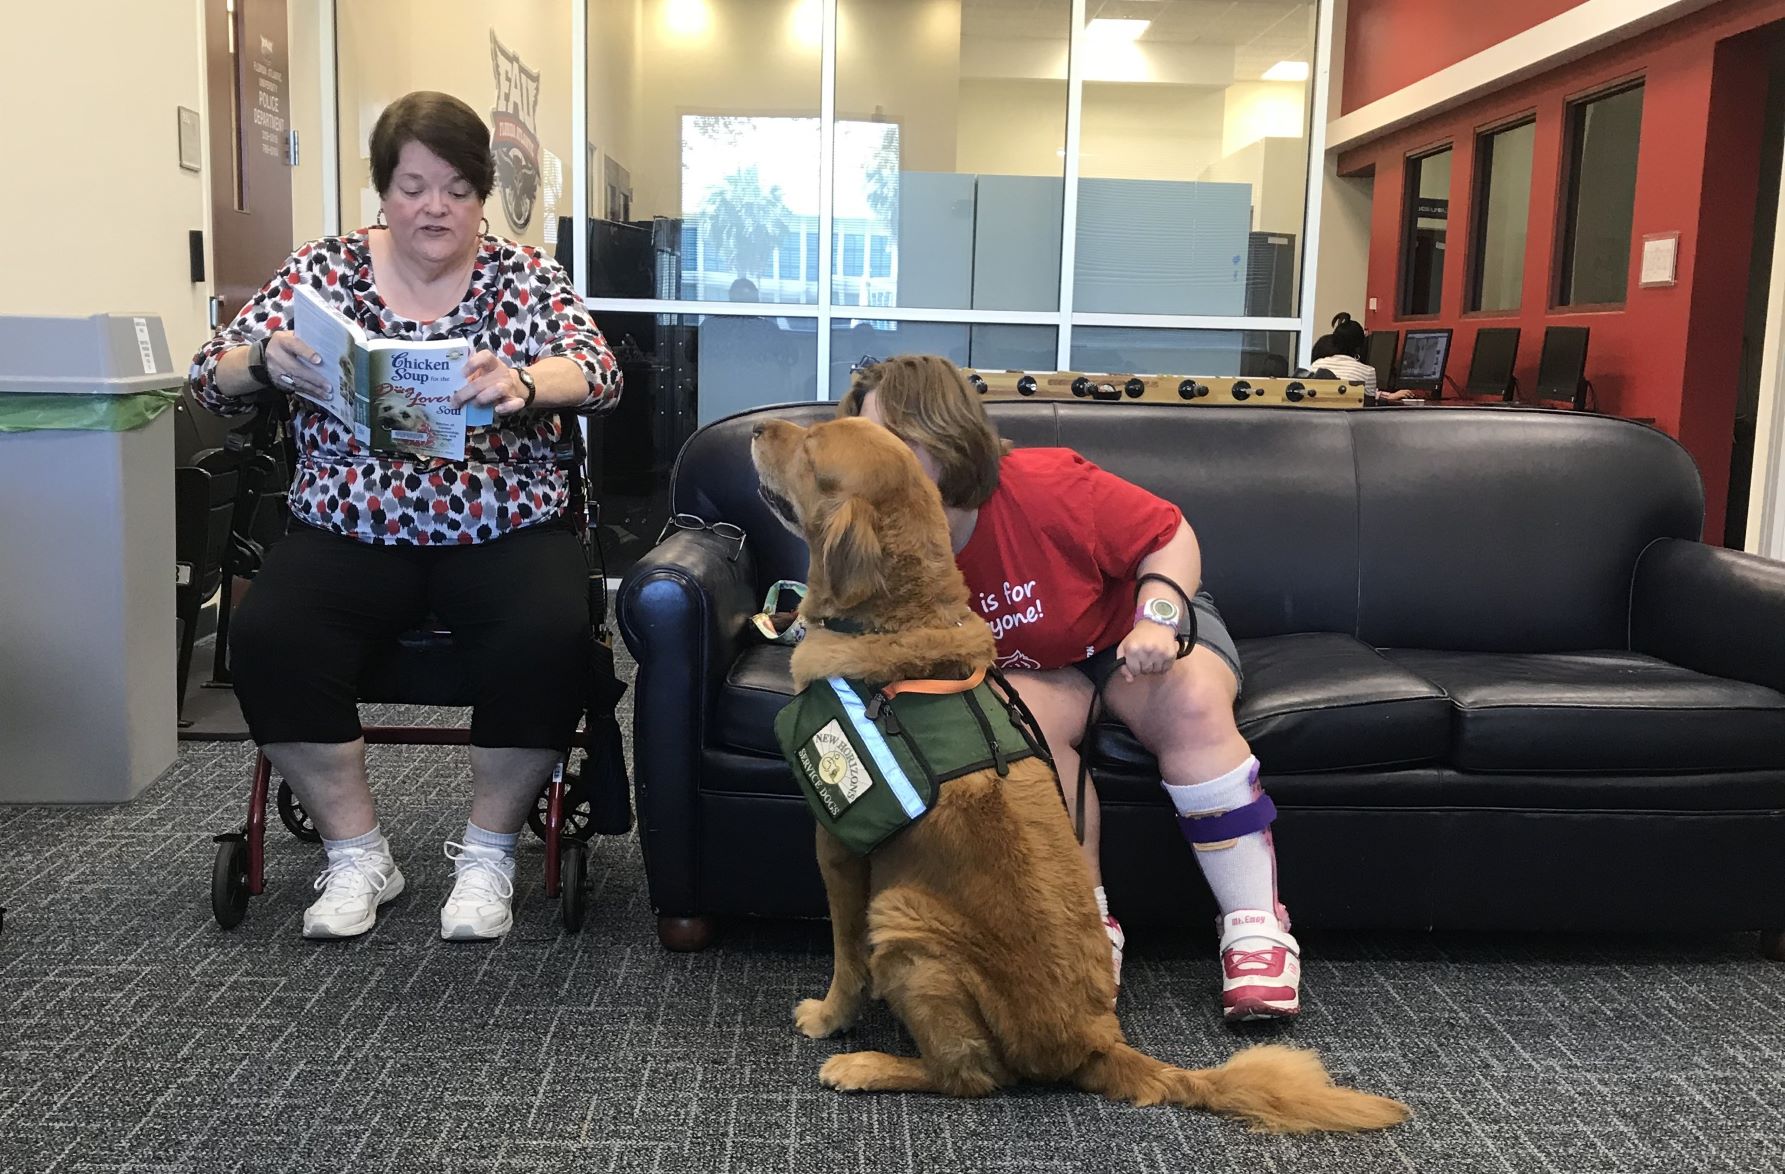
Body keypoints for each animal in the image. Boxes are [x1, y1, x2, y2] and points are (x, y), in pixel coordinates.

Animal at [749, 415, 1406, 1127]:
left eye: (812, 448)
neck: (898, 621)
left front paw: (829, 1017)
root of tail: (1092, 1040)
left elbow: (844, 958)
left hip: (901, 918)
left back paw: (867, 1065)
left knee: (969, 1075)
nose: (758, 426)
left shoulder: (838, 845)